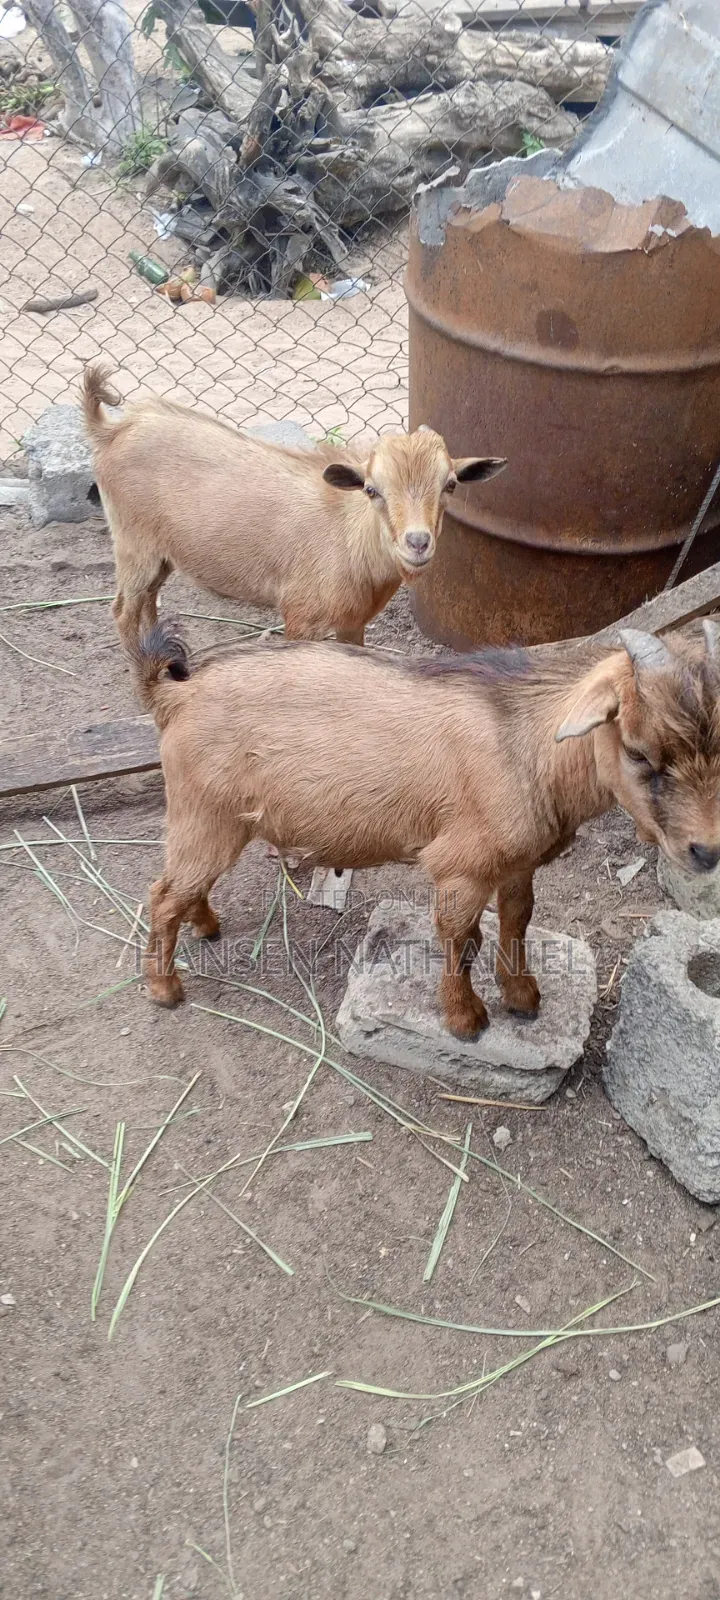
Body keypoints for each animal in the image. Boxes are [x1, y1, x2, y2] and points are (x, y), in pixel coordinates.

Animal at [81, 364, 506, 651]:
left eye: (450, 485)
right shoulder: (302, 618)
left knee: (147, 601)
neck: (350, 538)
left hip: (159, 554)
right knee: (123, 610)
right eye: (372, 490)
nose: (417, 543)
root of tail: (111, 430)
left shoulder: (352, 622)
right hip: (132, 544)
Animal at [131, 617, 720, 1039]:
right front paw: (466, 1020)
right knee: (161, 894)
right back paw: (164, 989)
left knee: (184, 888)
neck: (529, 746)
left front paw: (523, 997)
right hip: (204, 815)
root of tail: (173, 694)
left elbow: (517, 919)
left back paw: (207, 926)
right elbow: (458, 935)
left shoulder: (517, 863)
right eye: (637, 752)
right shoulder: (461, 866)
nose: (707, 851)